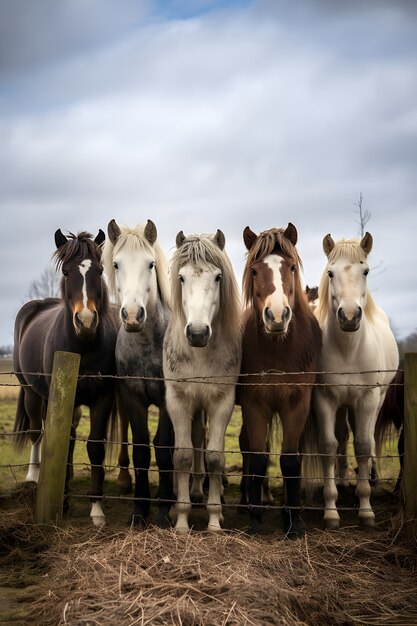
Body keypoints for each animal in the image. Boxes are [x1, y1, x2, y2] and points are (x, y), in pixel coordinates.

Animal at [13, 227, 117, 524]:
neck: (83, 346)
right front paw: (65, 500)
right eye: (67, 273)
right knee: (37, 431)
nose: (85, 321)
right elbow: (67, 443)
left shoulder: (103, 397)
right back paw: (34, 476)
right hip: (32, 393)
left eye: (100, 270)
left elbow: (93, 446)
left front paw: (96, 509)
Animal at [162, 229, 240, 532]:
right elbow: (183, 455)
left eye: (217, 277)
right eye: (181, 278)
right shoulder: (179, 401)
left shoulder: (221, 402)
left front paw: (215, 521)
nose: (197, 332)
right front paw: (182, 520)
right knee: (194, 440)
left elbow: (215, 457)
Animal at [237, 224, 322, 536]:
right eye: (254, 271)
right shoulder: (254, 405)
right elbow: (259, 458)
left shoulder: (297, 405)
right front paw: (255, 520)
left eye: (292, 267)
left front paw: (293, 522)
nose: (276, 316)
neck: (278, 348)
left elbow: (290, 461)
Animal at [306, 230, 400, 528]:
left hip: (374, 401)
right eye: (331, 273)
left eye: (366, 271)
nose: (349, 316)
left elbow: (363, 445)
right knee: (342, 437)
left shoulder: (367, 398)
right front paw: (331, 510)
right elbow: (329, 446)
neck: (348, 349)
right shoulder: (324, 399)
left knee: (365, 437)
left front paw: (366, 508)